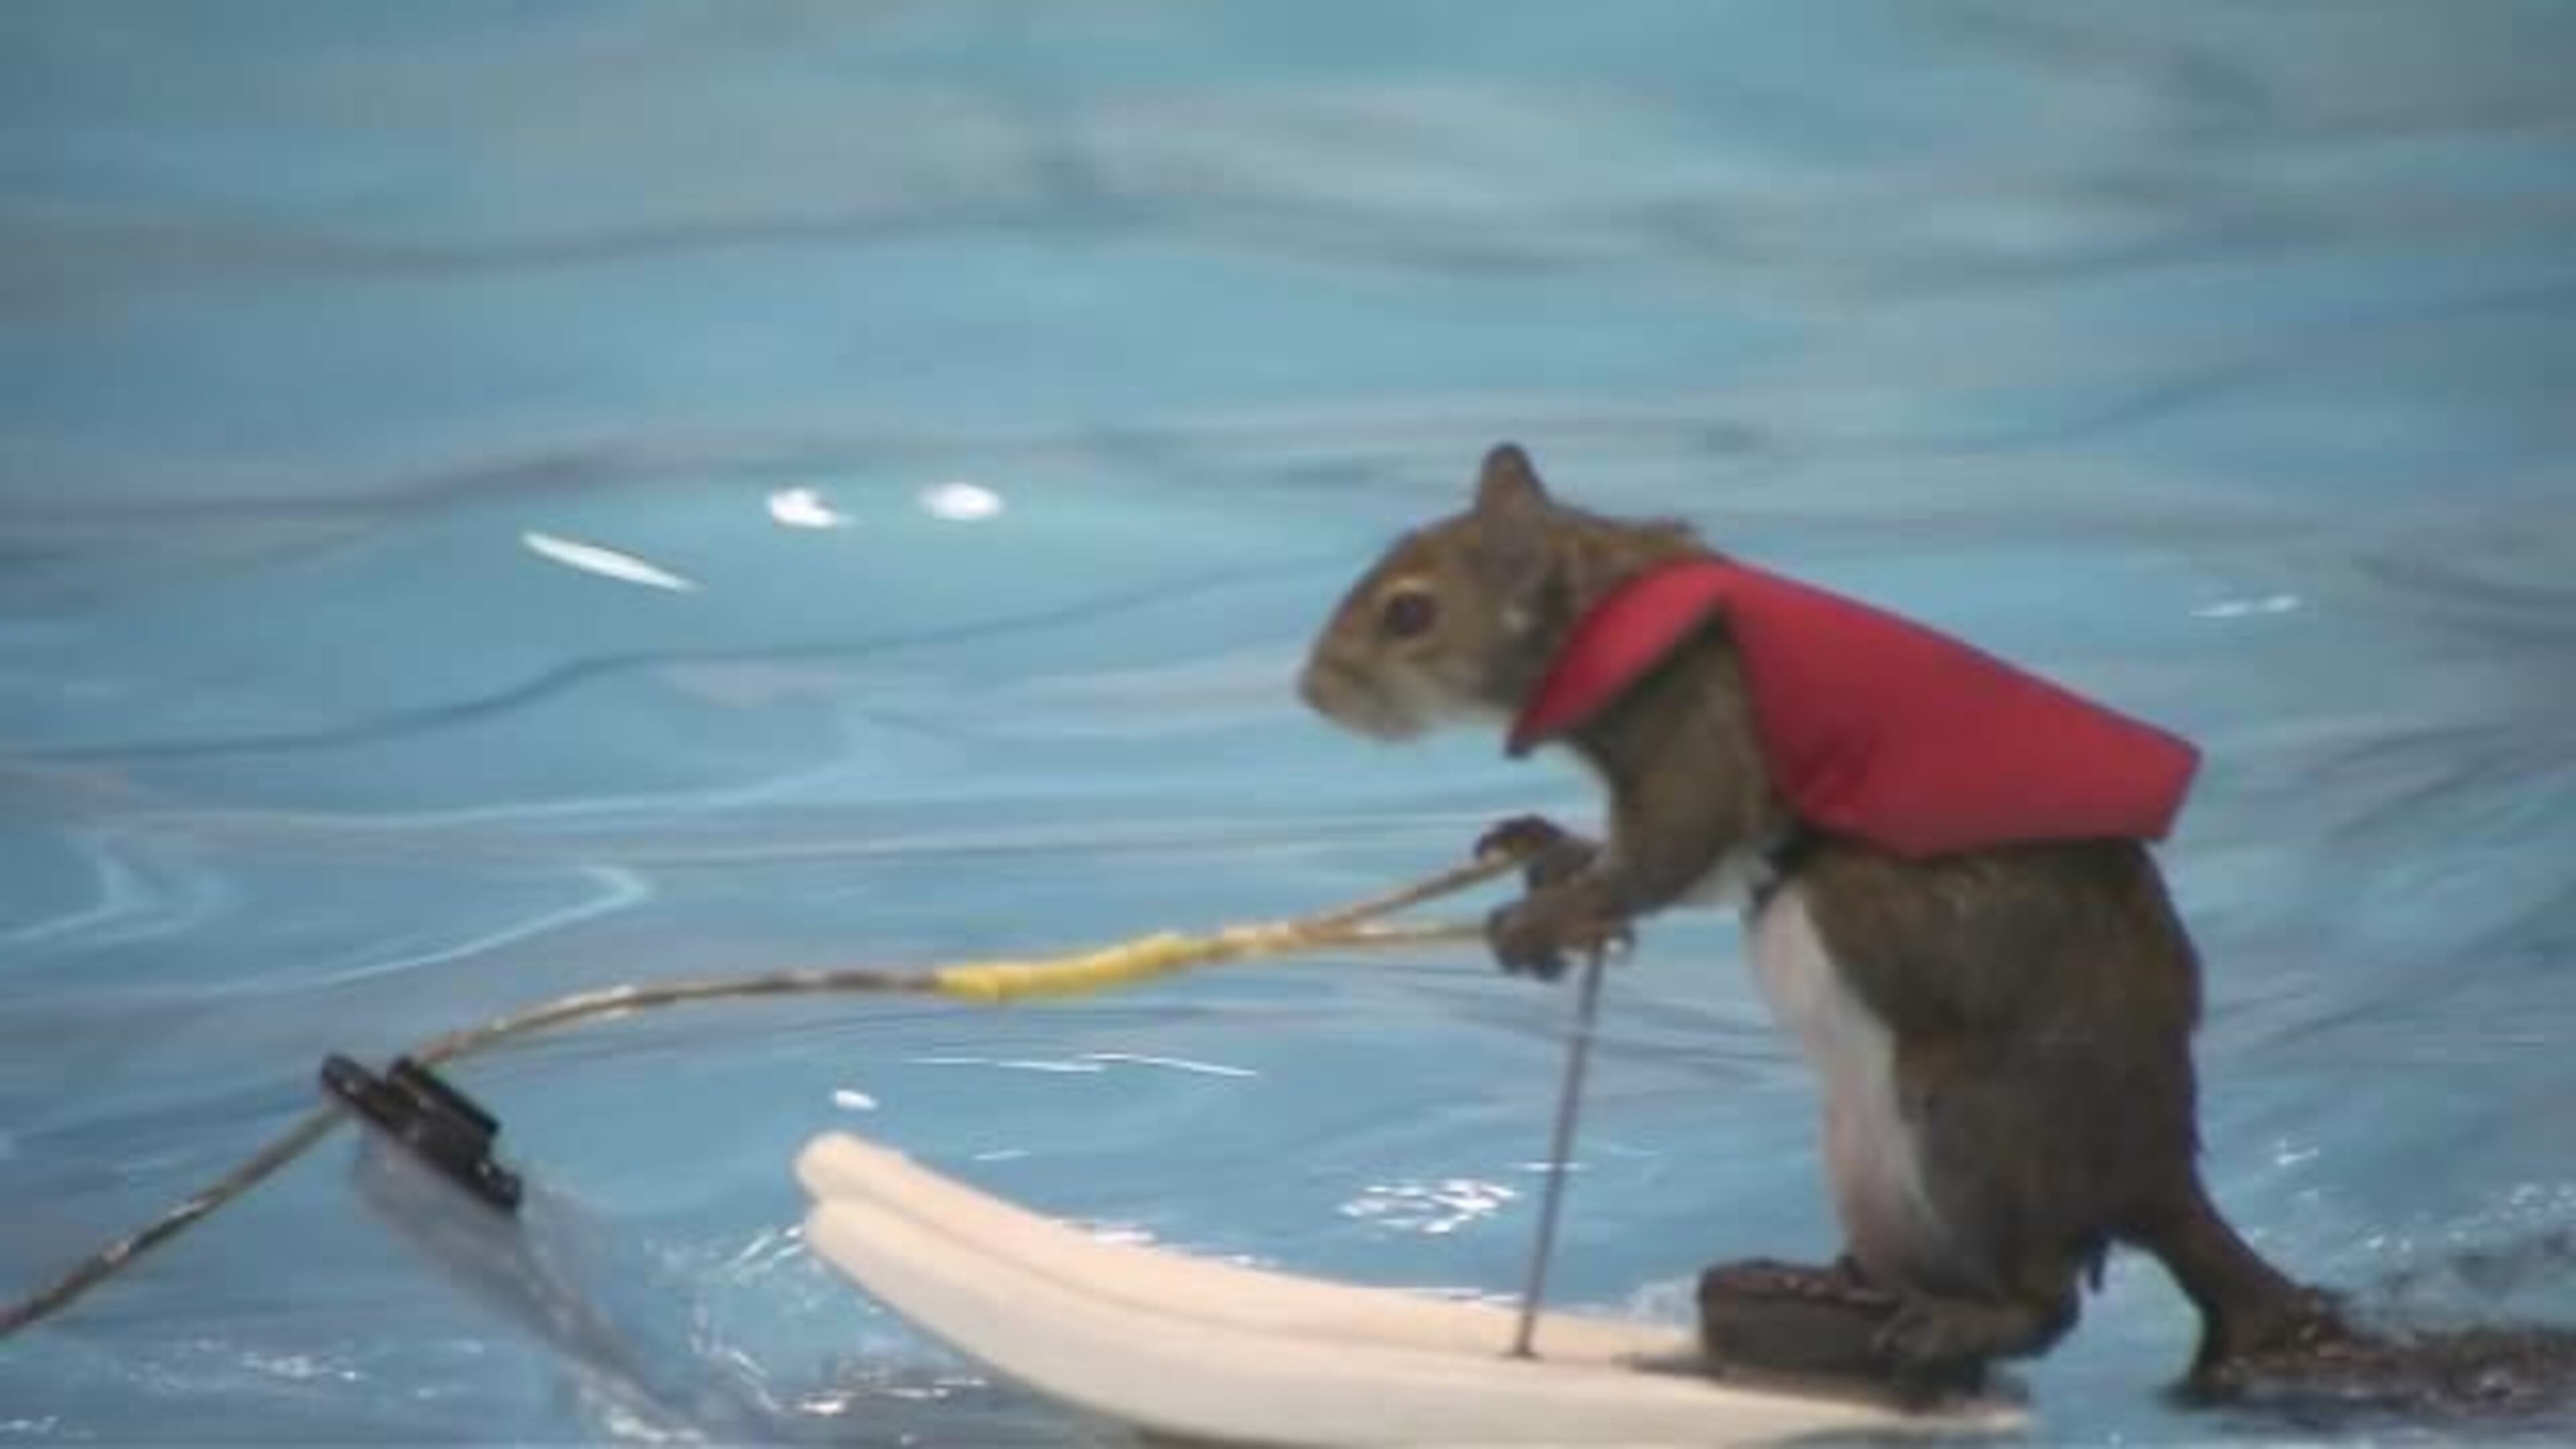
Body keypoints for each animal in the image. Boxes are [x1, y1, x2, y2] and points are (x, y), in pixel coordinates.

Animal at [1295, 443, 2571, 1410]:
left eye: (1409, 614)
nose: (1311, 690)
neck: (1619, 602)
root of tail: (2155, 1176)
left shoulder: (1701, 725)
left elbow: (1673, 850)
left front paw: (1543, 913)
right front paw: (1539, 844)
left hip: (1969, 1119)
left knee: (2044, 1298)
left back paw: (1949, 1325)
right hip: (1874, 1167)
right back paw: (1813, 1286)